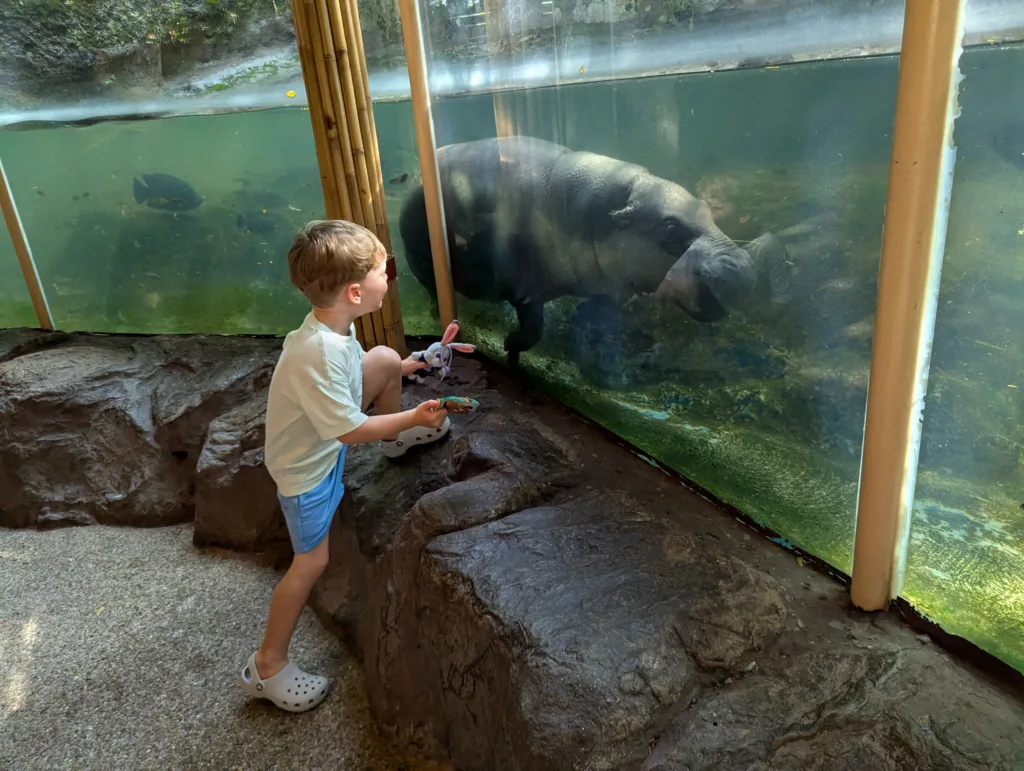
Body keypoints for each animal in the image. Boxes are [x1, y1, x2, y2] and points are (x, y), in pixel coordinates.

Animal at [398, 136, 792, 365]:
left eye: (708, 209)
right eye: (670, 228)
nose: (742, 266)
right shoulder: (526, 289)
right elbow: (534, 328)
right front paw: (510, 347)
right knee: (432, 289)